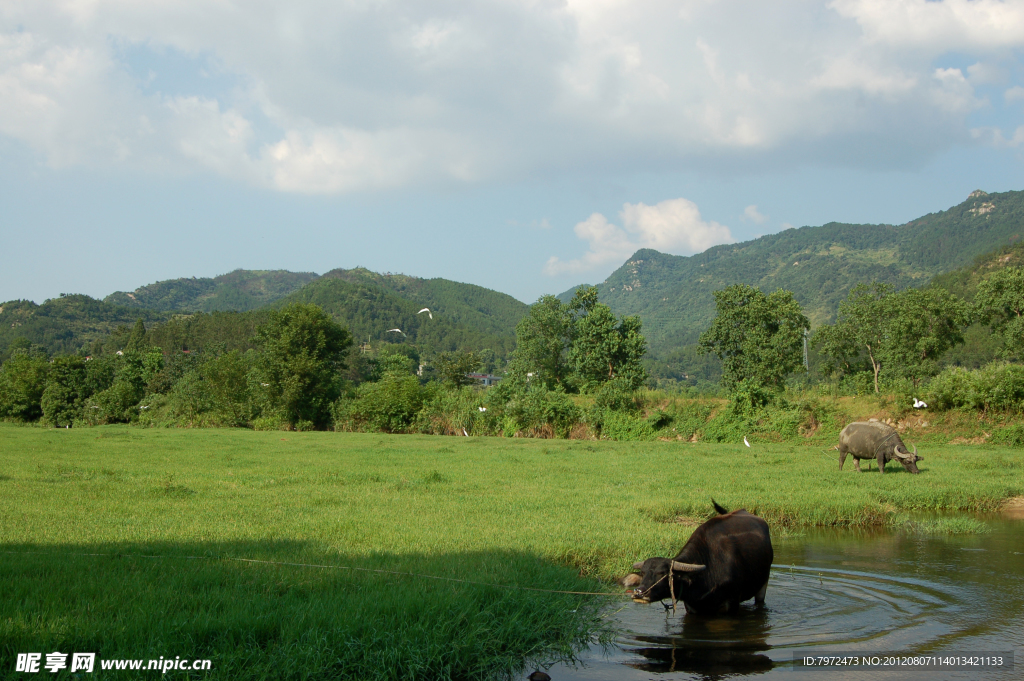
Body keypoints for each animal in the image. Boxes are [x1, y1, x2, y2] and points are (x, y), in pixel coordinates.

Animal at [626, 499, 770, 614]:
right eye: (642, 573)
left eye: (663, 574)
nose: (639, 592)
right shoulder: (691, 607)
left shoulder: (732, 604)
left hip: (763, 584)